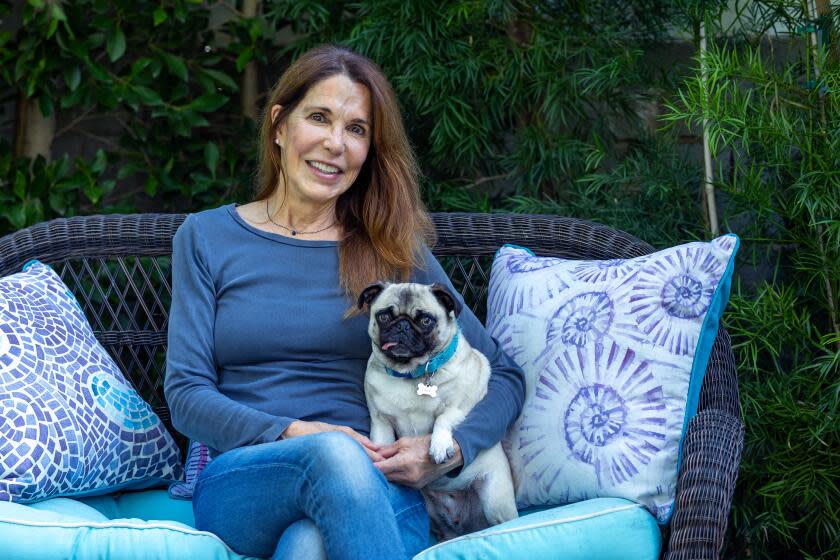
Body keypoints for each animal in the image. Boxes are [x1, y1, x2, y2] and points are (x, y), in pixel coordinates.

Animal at [356, 282, 516, 540]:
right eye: (384, 316)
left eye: (425, 321)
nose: (402, 326)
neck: (411, 374)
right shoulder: (381, 421)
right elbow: (382, 442)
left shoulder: (461, 405)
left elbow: (443, 418)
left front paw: (439, 447)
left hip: (495, 501)